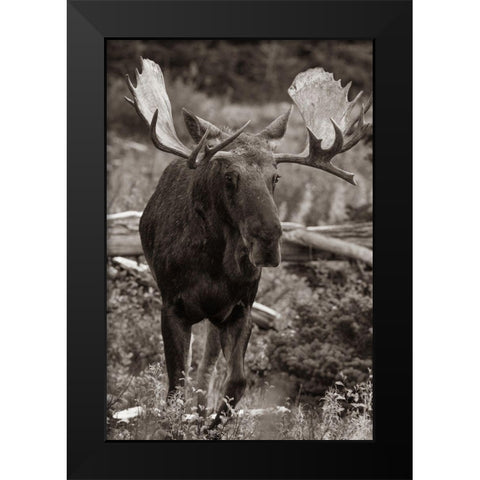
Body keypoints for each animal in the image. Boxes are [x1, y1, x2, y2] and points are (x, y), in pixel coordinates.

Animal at [124, 57, 372, 428]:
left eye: (276, 176)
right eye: (229, 176)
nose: (268, 240)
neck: (213, 264)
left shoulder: (242, 309)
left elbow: (237, 380)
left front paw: (213, 424)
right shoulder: (172, 306)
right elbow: (174, 386)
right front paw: (176, 423)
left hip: (217, 318)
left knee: (208, 368)